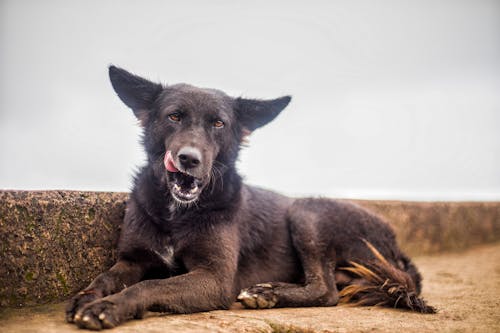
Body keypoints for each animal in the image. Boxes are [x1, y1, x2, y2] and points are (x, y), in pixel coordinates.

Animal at [66, 66, 434, 328]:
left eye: (218, 123)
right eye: (174, 116)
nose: (189, 159)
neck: (178, 212)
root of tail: (397, 247)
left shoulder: (214, 279)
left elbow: (150, 286)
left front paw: (108, 307)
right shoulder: (133, 260)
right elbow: (106, 277)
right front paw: (87, 297)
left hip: (306, 212)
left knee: (325, 289)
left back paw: (267, 293)